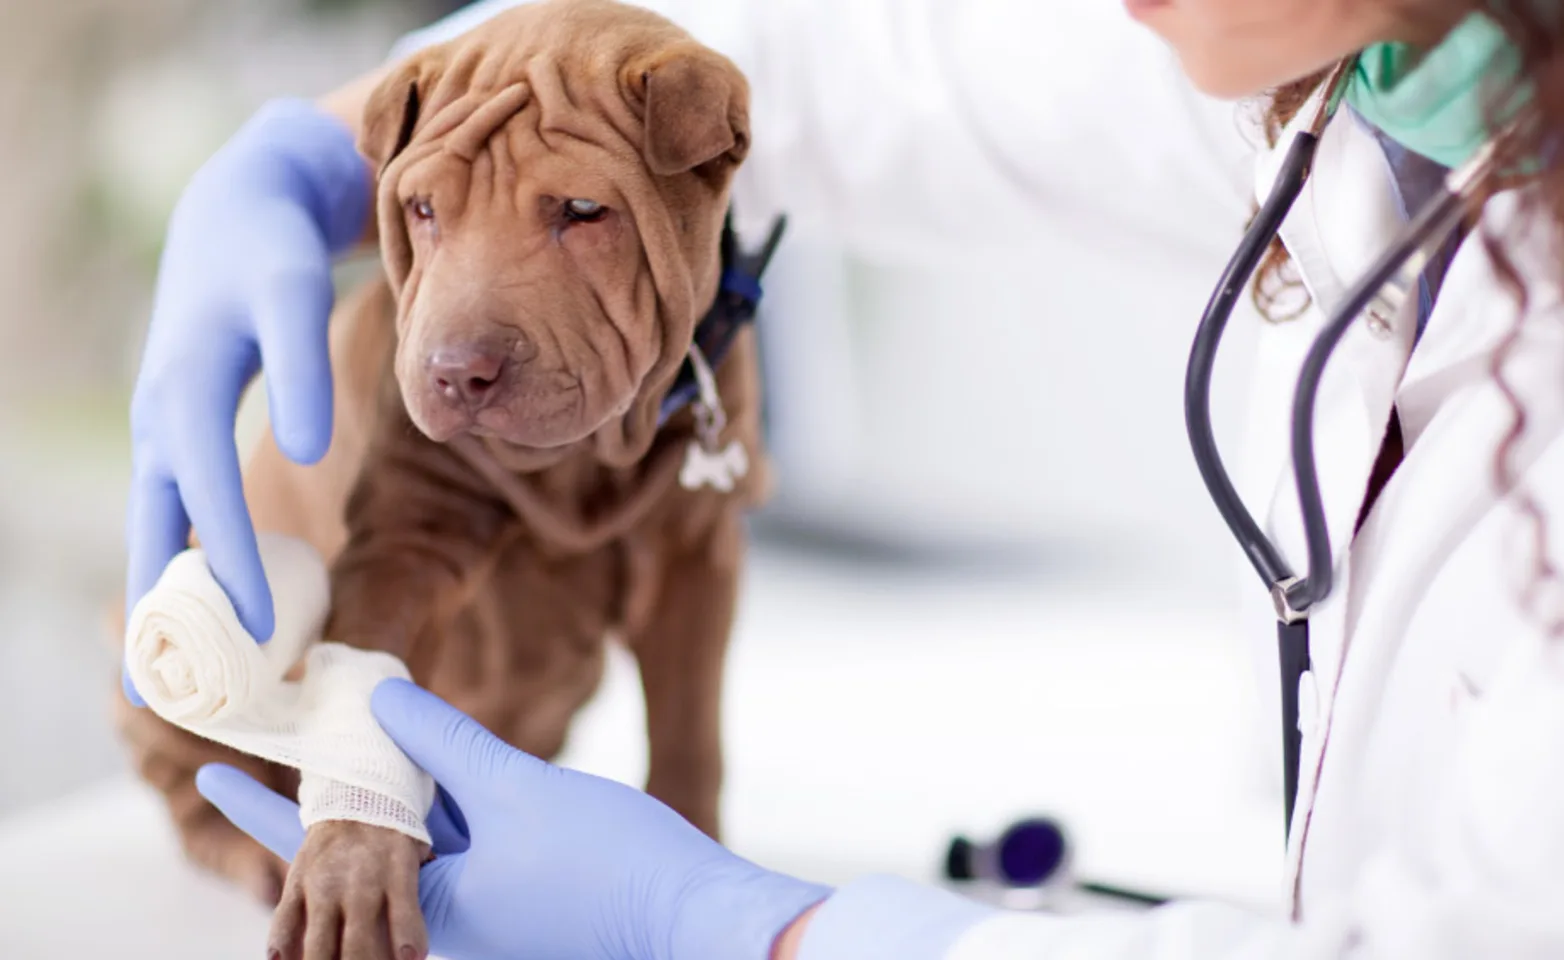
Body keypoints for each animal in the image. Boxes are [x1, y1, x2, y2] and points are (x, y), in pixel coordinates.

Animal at [111, 3, 769, 956]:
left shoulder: (697, 553)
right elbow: (369, 690)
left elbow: (690, 729)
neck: (585, 463)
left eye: (584, 211)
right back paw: (252, 852)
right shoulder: (404, 540)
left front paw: (699, 869)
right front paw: (350, 868)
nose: (457, 371)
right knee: (191, 785)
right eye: (422, 209)